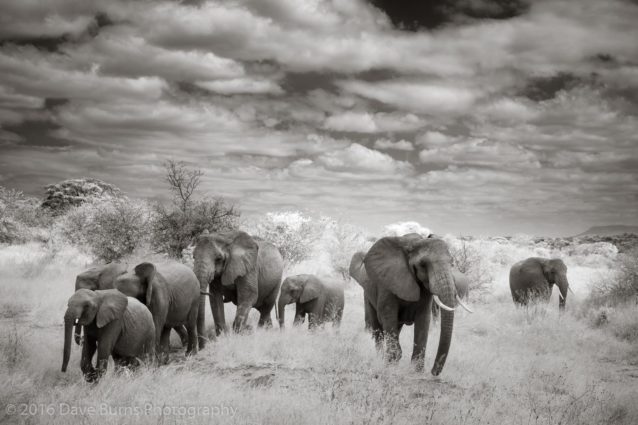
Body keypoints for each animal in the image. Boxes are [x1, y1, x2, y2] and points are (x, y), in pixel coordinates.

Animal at [362, 232, 472, 374]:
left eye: (451, 262)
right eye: (423, 265)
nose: (433, 372)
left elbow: (423, 319)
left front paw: (416, 371)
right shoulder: (387, 282)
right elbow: (387, 314)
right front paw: (391, 365)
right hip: (367, 293)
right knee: (377, 329)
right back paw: (380, 358)